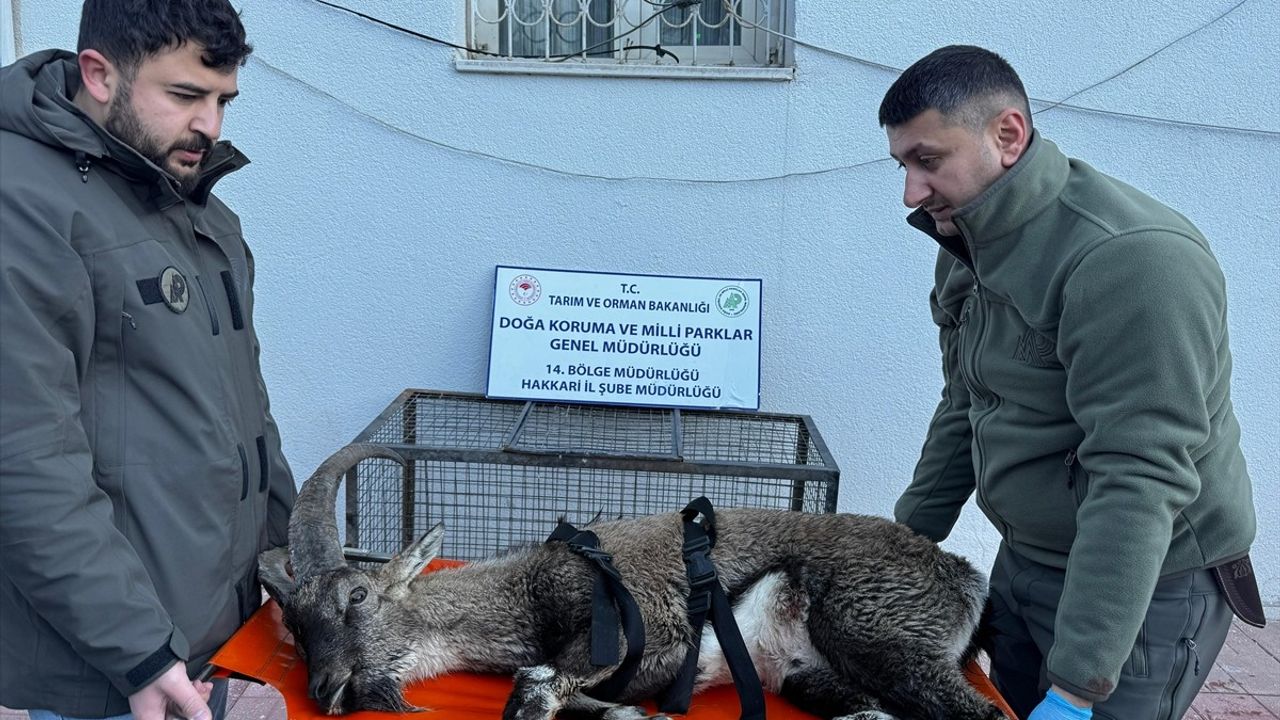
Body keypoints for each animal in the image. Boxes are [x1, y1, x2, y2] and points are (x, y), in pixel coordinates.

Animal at [257, 443, 998, 717]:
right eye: (293, 623)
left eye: (357, 595)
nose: (329, 690)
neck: (529, 595)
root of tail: (966, 580)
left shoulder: (646, 629)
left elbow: (534, 689)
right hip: (809, 675)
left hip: (878, 633)